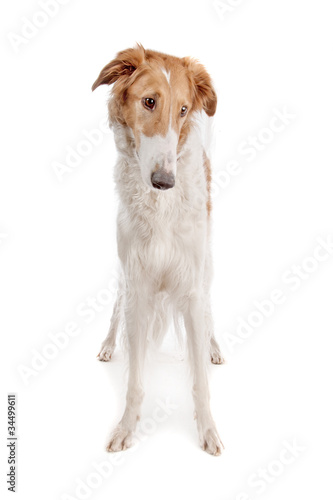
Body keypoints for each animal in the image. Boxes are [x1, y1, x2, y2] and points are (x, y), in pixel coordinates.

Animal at [92, 45, 224, 456]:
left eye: (183, 109)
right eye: (149, 101)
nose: (165, 181)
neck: (161, 207)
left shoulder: (192, 285)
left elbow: (200, 381)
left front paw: (208, 431)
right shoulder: (138, 284)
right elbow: (134, 380)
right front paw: (125, 428)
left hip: (207, 267)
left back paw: (213, 346)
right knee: (115, 309)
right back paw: (107, 345)